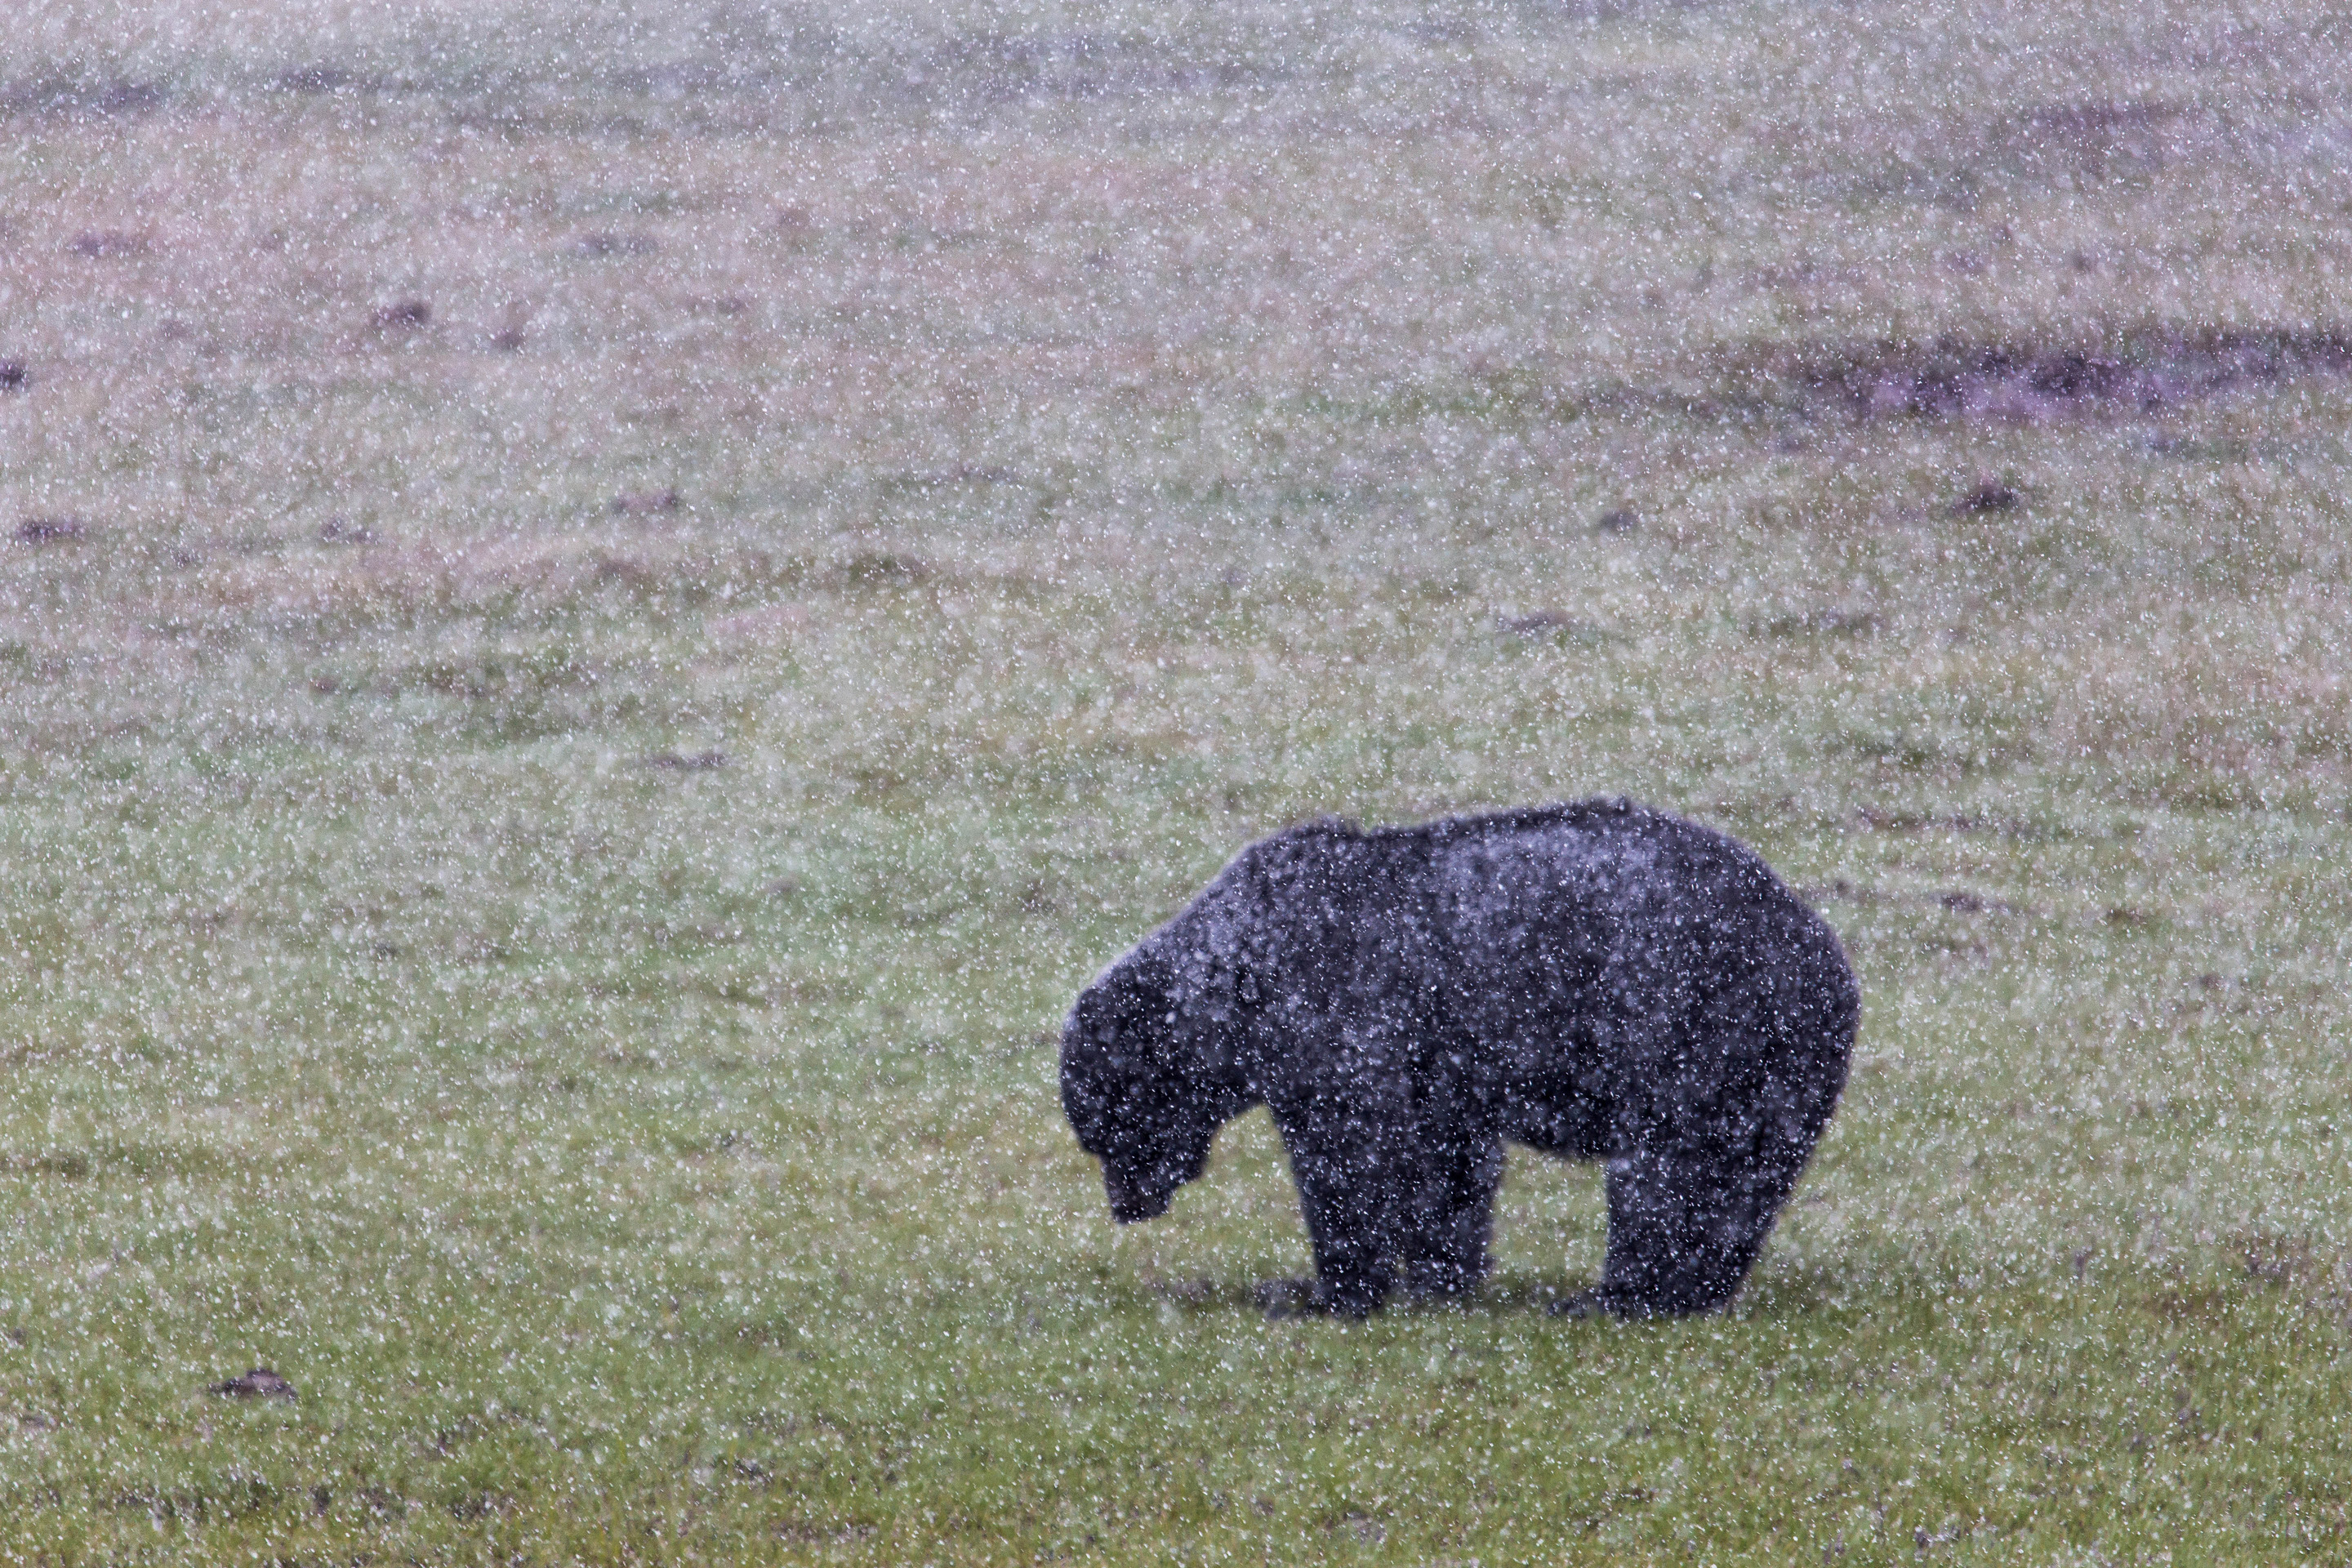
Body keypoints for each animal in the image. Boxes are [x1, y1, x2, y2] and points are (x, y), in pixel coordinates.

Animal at [1059, 799, 1858, 1318]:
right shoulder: (1439, 1064)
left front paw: (1324, 1290)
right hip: (1778, 1072)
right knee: (1742, 1183)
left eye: (1108, 1131)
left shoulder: (1337, 1009)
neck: (1237, 982)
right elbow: (1446, 1166)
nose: (1126, 1207)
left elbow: (1349, 1157)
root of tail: (1827, 954)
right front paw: (1439, 1273)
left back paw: (1619, 1295)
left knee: (1669, 1170)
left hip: (1697, 1025)